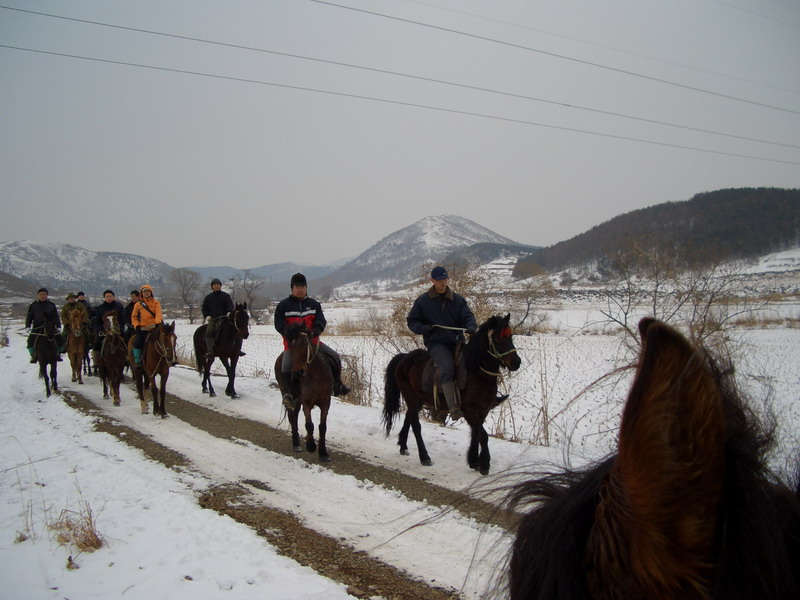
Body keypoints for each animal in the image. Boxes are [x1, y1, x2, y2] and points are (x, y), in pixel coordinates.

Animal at [274, 324, 332, 460]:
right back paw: (296, 444)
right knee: (291, 416)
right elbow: (309, 425)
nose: (298, 372)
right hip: (288, 395)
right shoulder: (307, 402)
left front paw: (323, 453)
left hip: (298, 400)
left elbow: (323, 427)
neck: (316, 376)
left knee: (294, 416)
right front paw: (311, 446)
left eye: (305, 345)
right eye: (290, 345)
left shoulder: (326, 402)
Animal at [384, 314, 520, 474]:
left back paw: (403, 446)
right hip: (410, 396)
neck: (477, 373)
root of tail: (405, 357)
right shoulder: (469, 410)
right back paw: (424, 457)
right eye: (498, 338)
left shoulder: (483, 410)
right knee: (416, 425)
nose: (516, 362)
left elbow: (476, 433)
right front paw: (484, 464)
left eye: (510, 336)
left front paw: (474, 461)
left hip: (418, 399)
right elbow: (483, 435)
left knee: (409, 417)